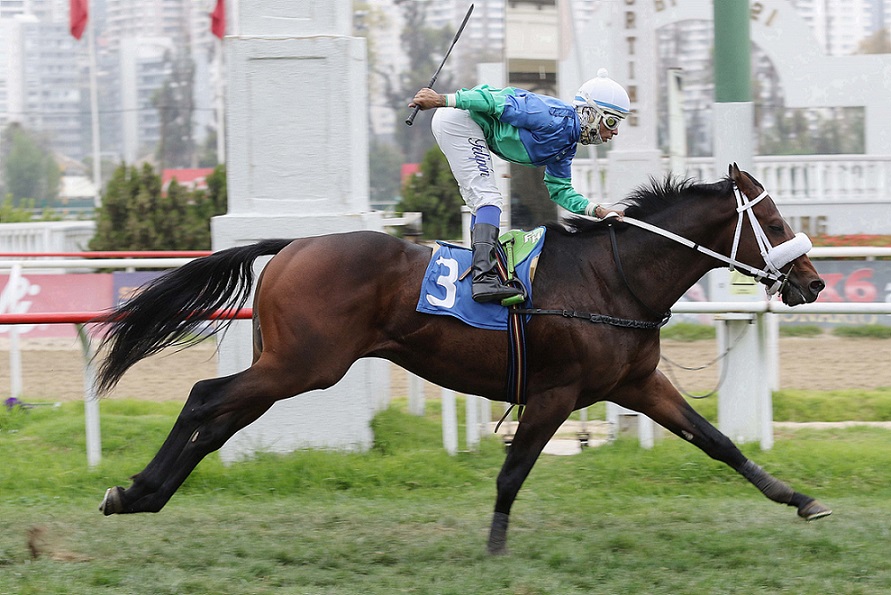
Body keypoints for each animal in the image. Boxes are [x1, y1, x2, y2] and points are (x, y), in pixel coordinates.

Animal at [96, 164, 831, 555]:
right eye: (771, 221)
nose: (815, 282)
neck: (612, 279)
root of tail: (294, 244)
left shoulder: (637, 383)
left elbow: (718, 441)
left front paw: (797, 498)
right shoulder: (555, 392)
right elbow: (512, 472)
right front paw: (496, 544)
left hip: (289, 366)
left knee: (219, 417)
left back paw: (141, 494)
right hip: (303, 364)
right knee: (204, 397)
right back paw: (133, 491)